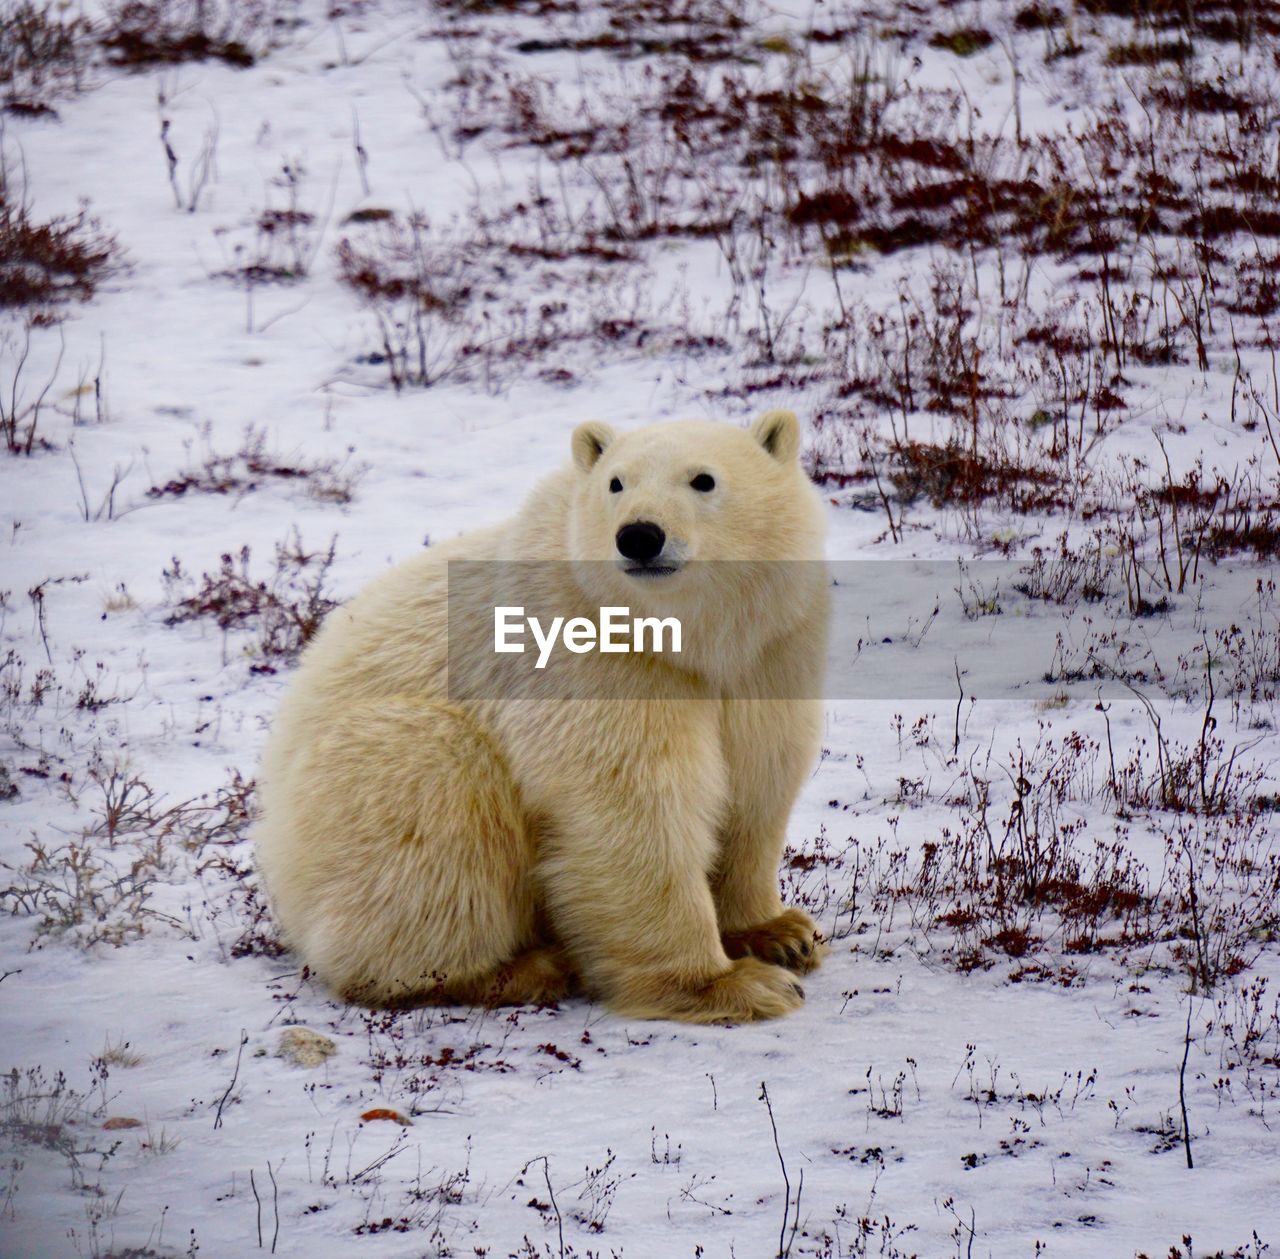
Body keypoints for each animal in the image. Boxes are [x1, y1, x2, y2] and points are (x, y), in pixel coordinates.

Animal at [253, 411, 829, 1023]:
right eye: (616, 483)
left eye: (704, 480)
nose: (639, 535)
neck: (685, 639)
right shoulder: (586, 653)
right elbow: (633, 807)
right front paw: (731, 983)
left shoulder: (767, 654)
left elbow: (758, 780)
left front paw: (780, 934)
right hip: (357, 802)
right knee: (439, 802)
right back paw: (520, 969)